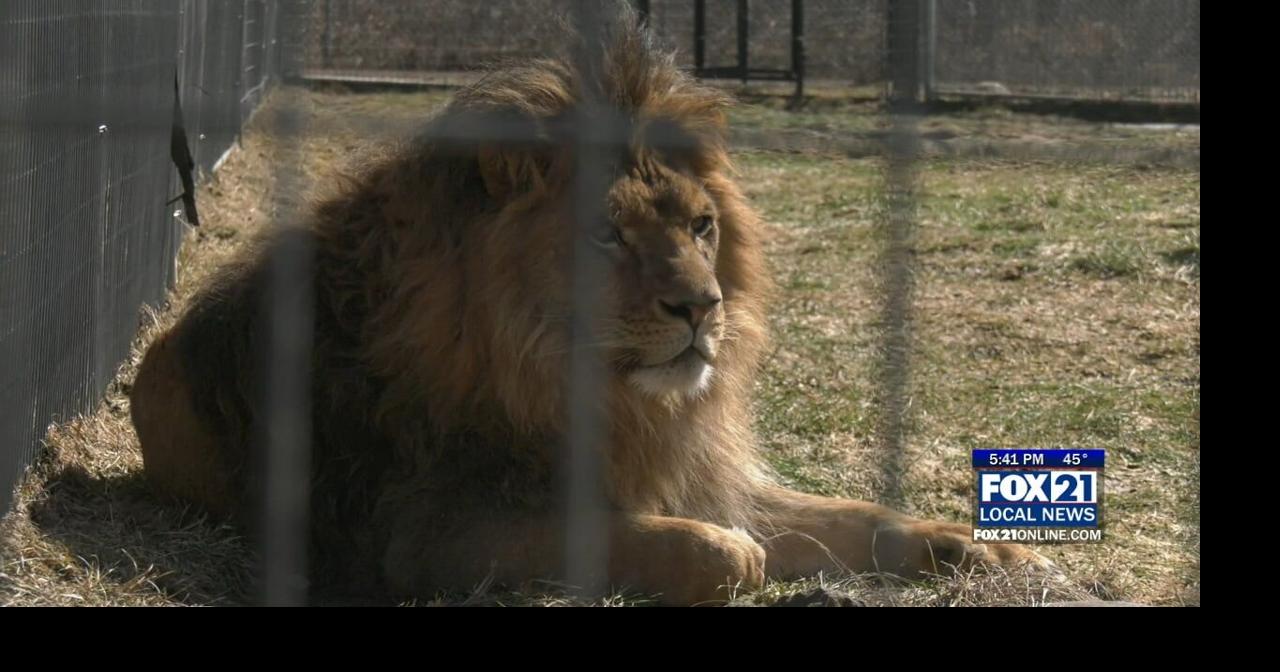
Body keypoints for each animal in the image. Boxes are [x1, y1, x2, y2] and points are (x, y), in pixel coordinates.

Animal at [129, 11, 1047, 605]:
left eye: (702, 226)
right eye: (607, 235)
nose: (702, 307)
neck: (603, 395)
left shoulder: (701, 473)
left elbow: (861, 517)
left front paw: (993, 552)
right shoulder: (430, 534)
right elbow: (707, 550)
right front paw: (735, 556)